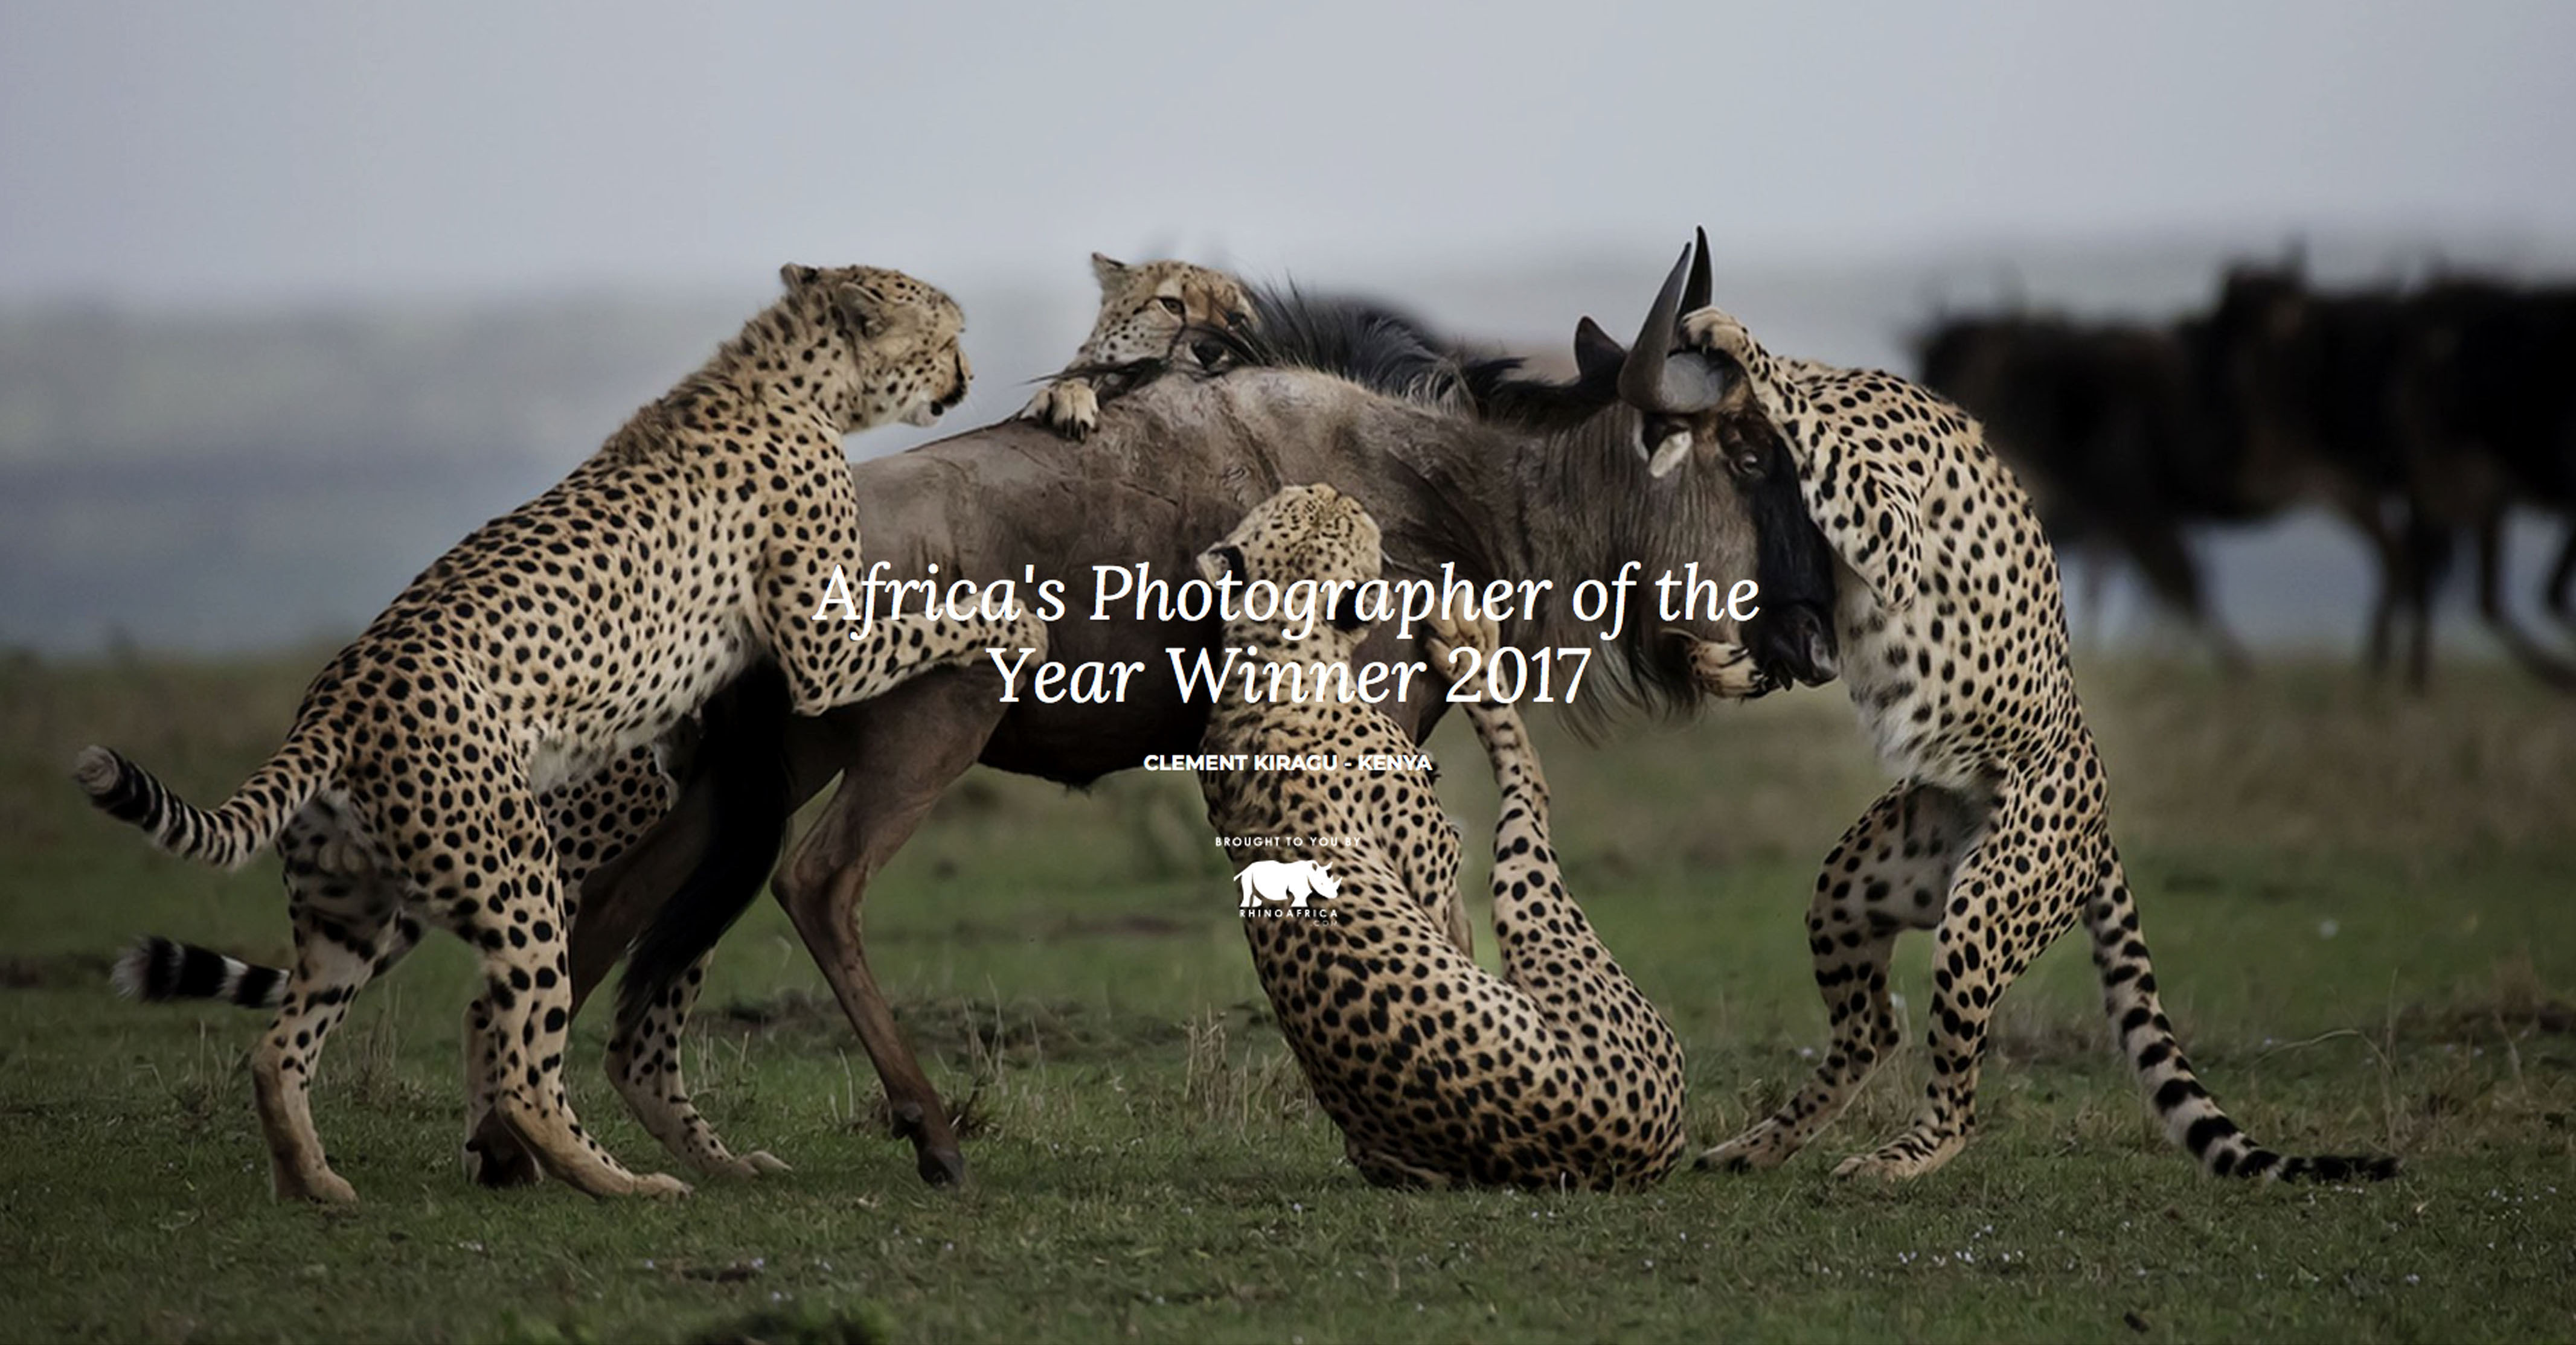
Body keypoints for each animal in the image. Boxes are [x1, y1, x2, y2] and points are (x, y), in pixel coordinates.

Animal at [80, 258, 1045, 1195]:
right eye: (947, 335)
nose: (968, 374)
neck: (791, 377)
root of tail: (338, 699)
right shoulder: (822, 651)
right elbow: (930, 623)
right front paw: (1015, 619)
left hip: (348, 911)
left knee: (279, 1050)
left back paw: (316, 1184)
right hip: (517, 879)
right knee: (521, 1070)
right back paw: (622, 1182)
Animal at [1190, 479, 1690, 1185]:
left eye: (1302, 502)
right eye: (1345, 517)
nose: (1332, 486)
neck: (1276, 644)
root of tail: (1648, 1149)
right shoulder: (1432, 857)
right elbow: (1449, 910)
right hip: (1538, 903)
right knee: (1526, 780)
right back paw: (1465, 640)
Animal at [1648, 276, 2390, 1180]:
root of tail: (2100, 820)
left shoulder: (1888, 532)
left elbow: (1807, 426)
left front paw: (1734, 337)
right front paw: (1715, 661)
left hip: (1984, 905)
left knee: (1955, 1096)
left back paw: (1901, 1158)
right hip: (1857, 888)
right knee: (1874, 1028)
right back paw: (1757, 1144)